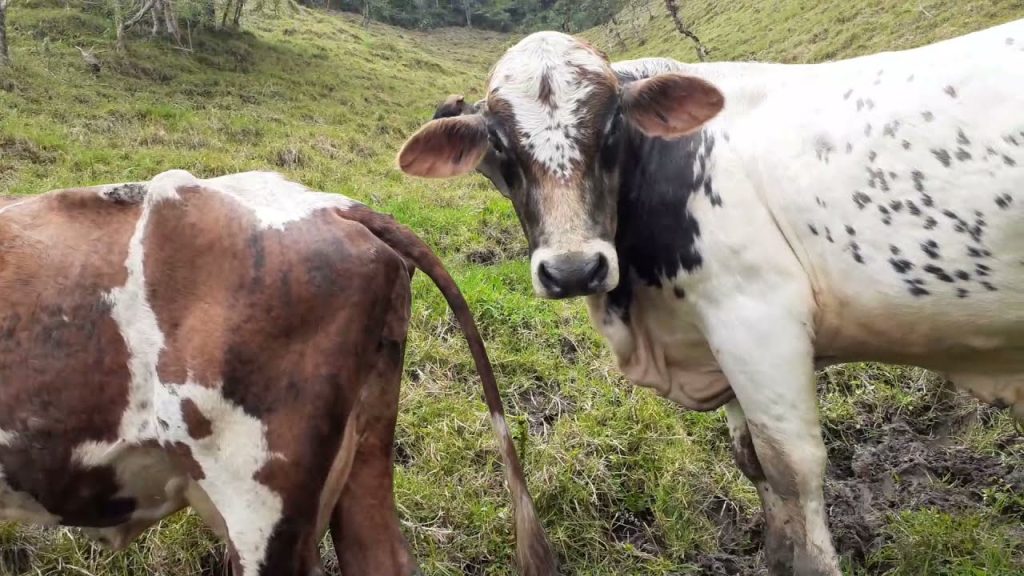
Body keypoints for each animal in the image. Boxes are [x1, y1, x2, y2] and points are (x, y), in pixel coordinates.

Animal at [397, 17, 1024, 573]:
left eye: (612, 128)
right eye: (501, 145)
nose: (574, 269)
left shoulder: (757, 322)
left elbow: (792, 468)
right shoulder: (721, 338)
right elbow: (753, 464)